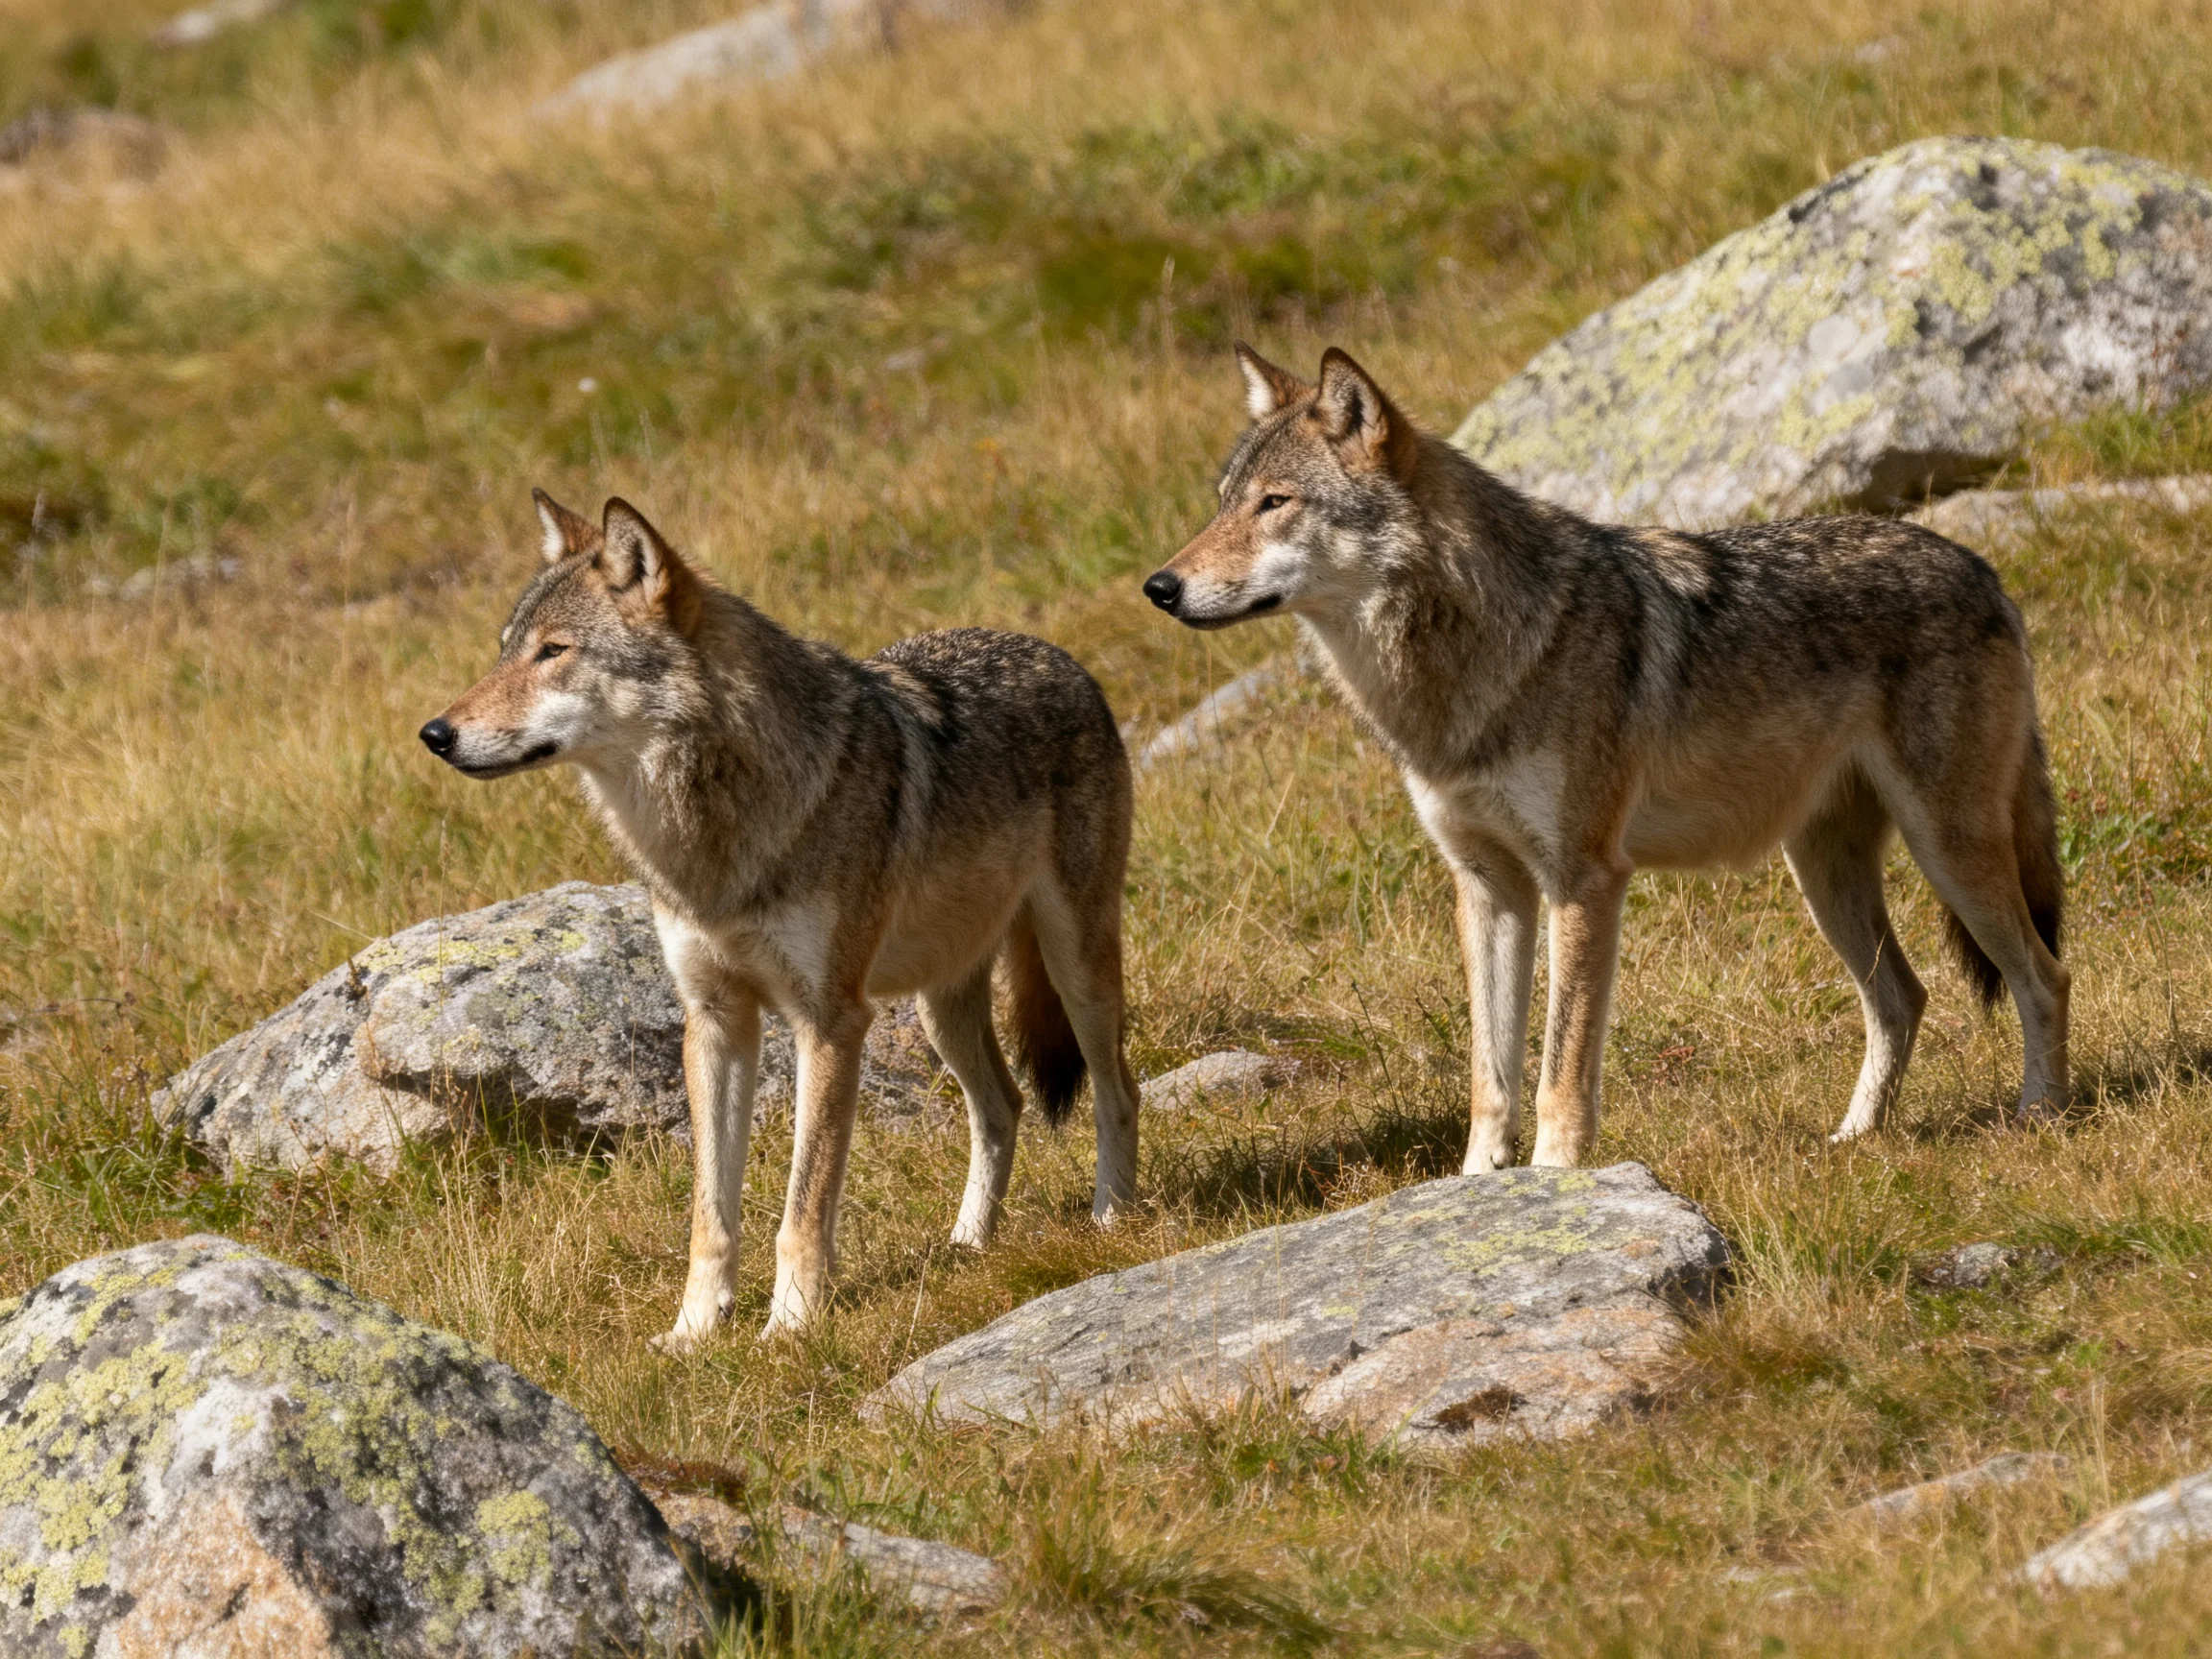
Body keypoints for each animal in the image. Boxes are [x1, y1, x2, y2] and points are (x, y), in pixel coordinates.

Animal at [422, 493, 1139, 1343]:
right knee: (1004, 1105)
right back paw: (967, 1246)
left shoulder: (829, 1021)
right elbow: (711, 1214)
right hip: (939, 1007)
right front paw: (694, 1334)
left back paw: (1111, 1220)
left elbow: (803, 1204)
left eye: (553, 652)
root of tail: (1063, 657)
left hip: (1075, 969)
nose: (435, 734)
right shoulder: (715, 1022)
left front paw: (790, 1327)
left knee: (1119, 1092)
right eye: (505, 650)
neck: (711, 840)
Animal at [1143, 345, 2067, 1168]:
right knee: (1904, 998)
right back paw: (1855, 1141)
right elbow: (1491, 1075)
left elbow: (1559, 1066)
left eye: (1275, 502)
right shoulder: (1487, 887)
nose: (1159, 586)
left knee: (2044, 976)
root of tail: (1984, 570)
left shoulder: (1583, 878)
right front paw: (1477, 1188)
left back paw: (2043, 1116)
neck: (1469, 663)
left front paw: (1556, 1179)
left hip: (1947, 849)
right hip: (1823, 873)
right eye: (1222, 503)